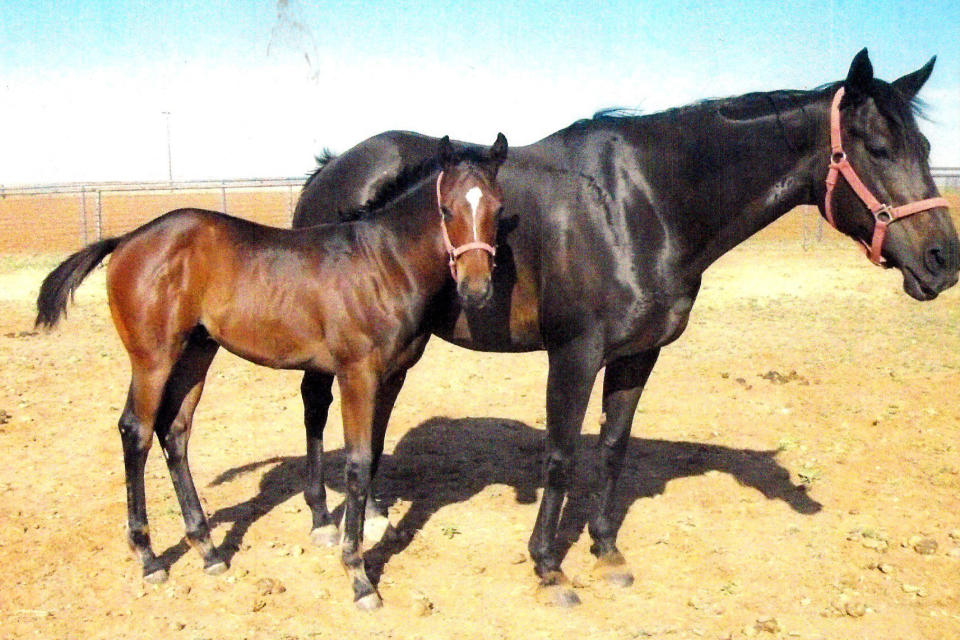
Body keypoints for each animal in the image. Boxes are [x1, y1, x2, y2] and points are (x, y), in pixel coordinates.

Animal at [39, 132, 510, 608]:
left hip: (197, 352)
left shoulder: (393, 376)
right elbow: (358, 462)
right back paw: (149, 557)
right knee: (135, 430)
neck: (382, 264)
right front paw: (358, 575)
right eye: (446, 210)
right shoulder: (356, 373)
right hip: (153, 358)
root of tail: (126, 240)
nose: (476, 289)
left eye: (497, 209)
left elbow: (374, 453)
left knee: (175, 430)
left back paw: (207, 549)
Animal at [294, 51, 960, 604]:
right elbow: (561, 455)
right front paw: (549, 566)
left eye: (926, 146)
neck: (640, 204)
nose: (943, 261)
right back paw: (325, 519)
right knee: (316, 407)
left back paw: (373, 511)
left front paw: (607, 550)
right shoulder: (574, 354)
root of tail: (330, 170)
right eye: (876, 148)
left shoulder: (638, 354)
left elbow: (613, 447)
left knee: (376, 417)